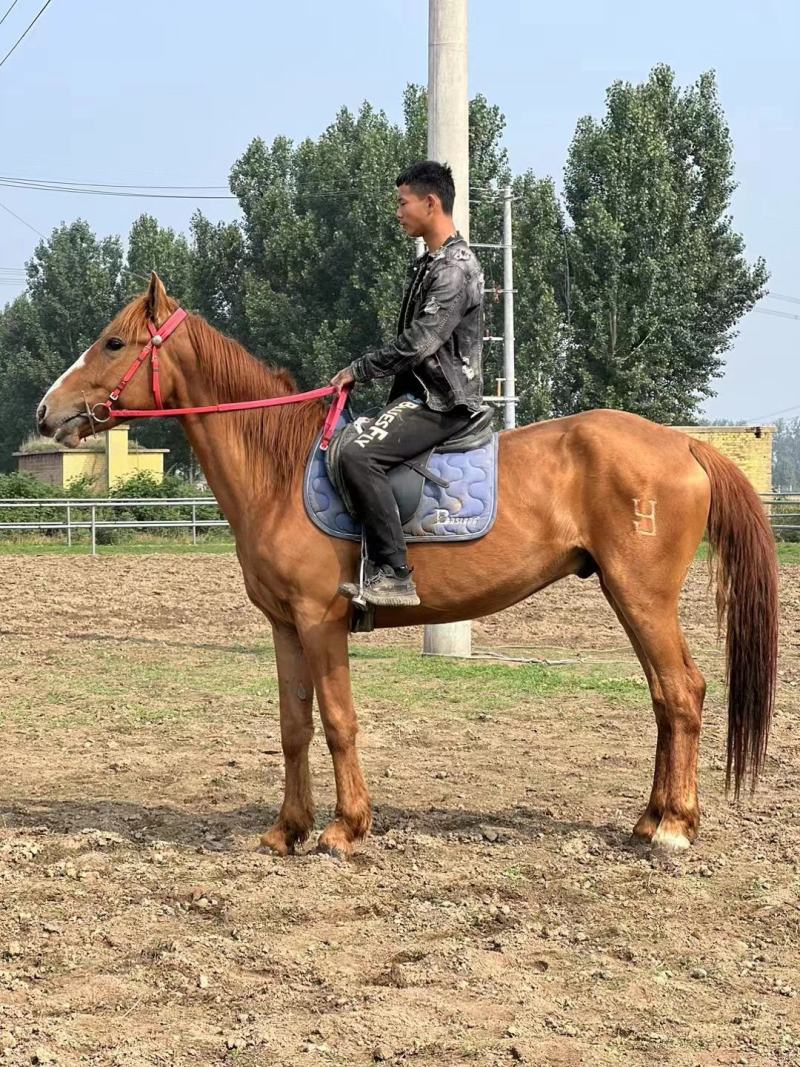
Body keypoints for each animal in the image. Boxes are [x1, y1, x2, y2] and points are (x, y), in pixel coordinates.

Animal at [36, 273, 779, 859]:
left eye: (112, 342)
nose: (46, 412)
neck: (280, 469)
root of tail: (682, 444)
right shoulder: (284, 625)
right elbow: (294, 726)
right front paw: (286, 829)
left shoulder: (321, 620)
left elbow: (339, 720)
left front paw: (344, 829)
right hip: (629, 597)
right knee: (662, 697)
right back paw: (649, 818)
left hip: (641, 594)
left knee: (681, 691)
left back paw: (675, 827)